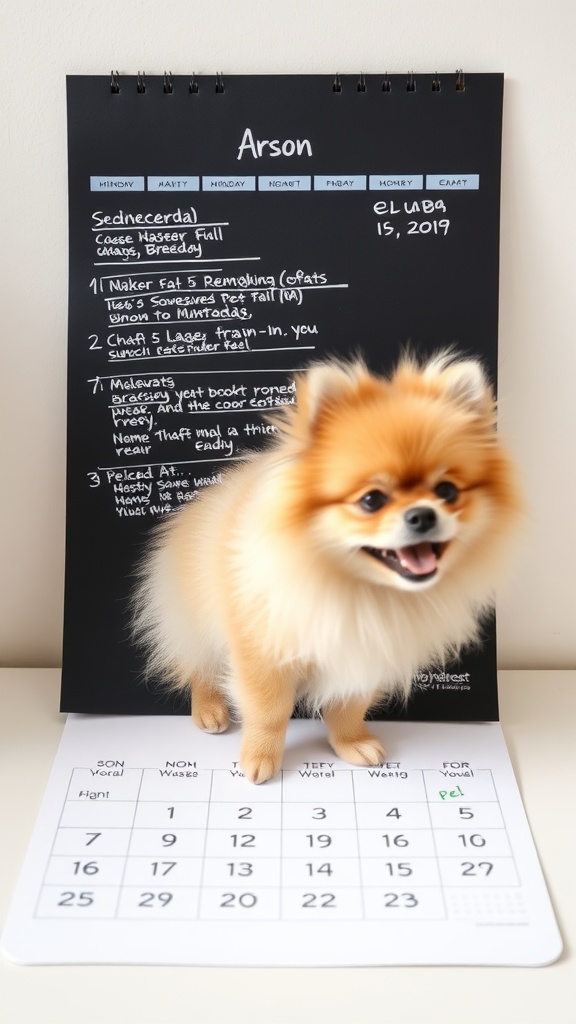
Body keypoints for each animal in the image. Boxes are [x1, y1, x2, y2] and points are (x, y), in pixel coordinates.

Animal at [134, 352, 520, 782]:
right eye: (371, 500)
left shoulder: (367, 652)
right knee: (198, 663)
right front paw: (260, 757)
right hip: (196, 617)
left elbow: (348, 706)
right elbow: (268, 711)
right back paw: (209, 709)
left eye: (448, 492)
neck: (352, 586)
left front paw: (351, 742)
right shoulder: (262, 648)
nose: (423, 514)